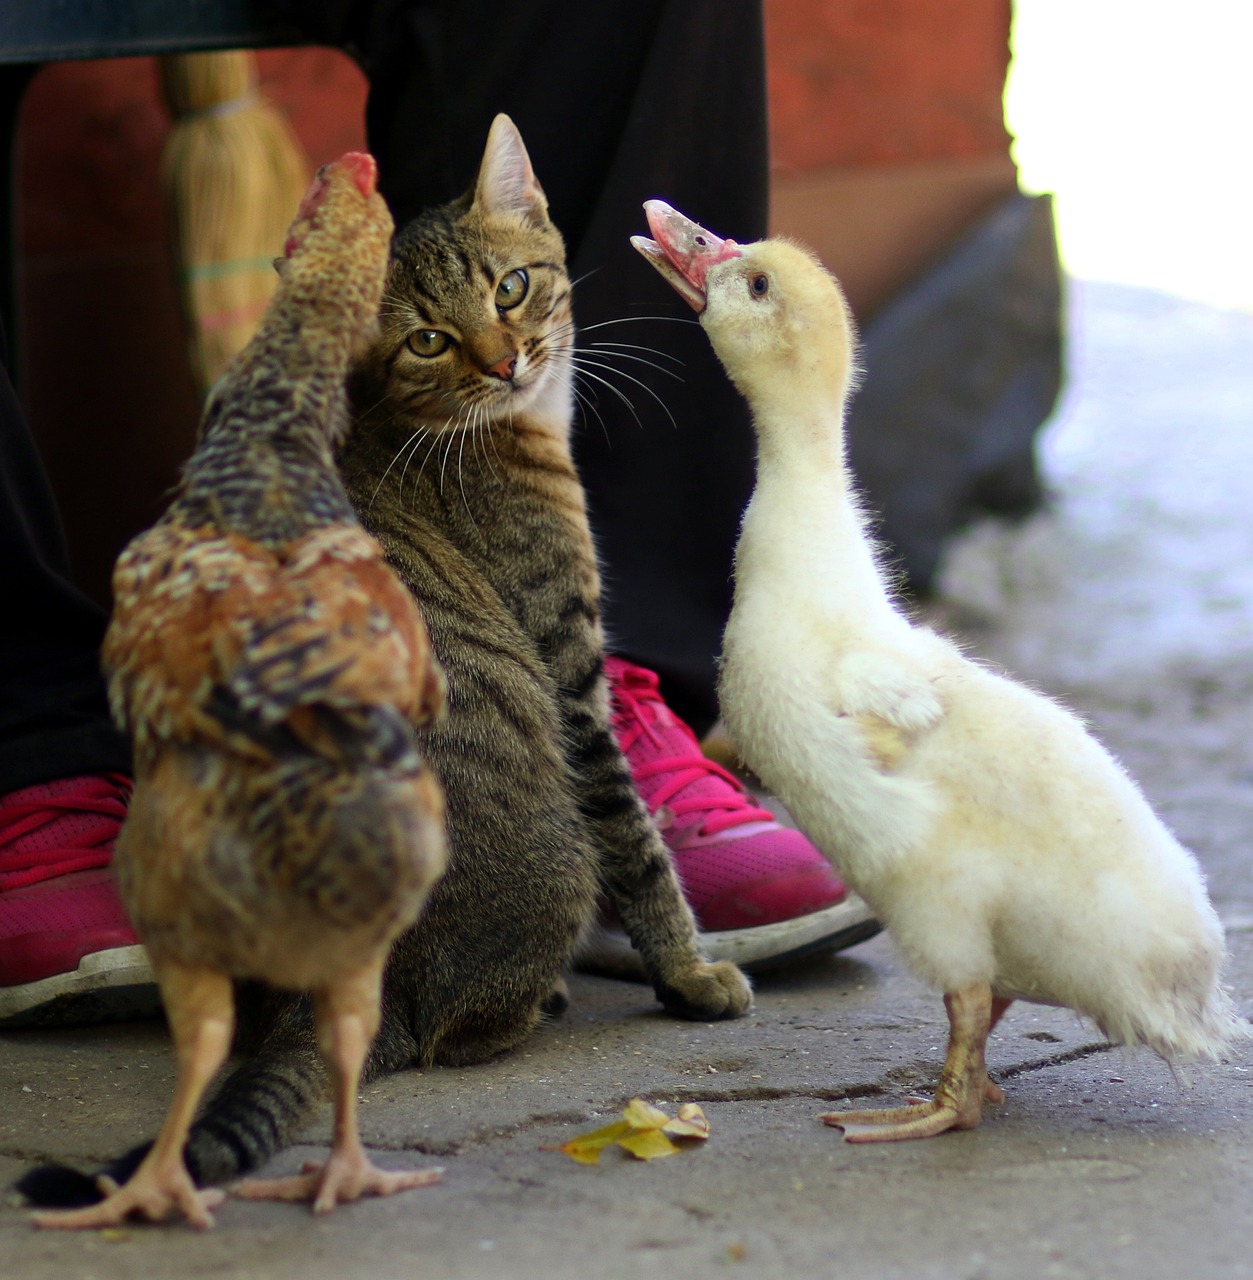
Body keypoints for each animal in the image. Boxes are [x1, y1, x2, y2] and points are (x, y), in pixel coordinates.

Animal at [22, 110, 742, 1198]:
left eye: (510, 287)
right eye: (429, 339)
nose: (507, 360)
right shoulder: (568, 664)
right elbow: (639, 843)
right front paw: (691, 972)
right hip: (554, 859)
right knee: (453, 1027)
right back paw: (533, 1003)